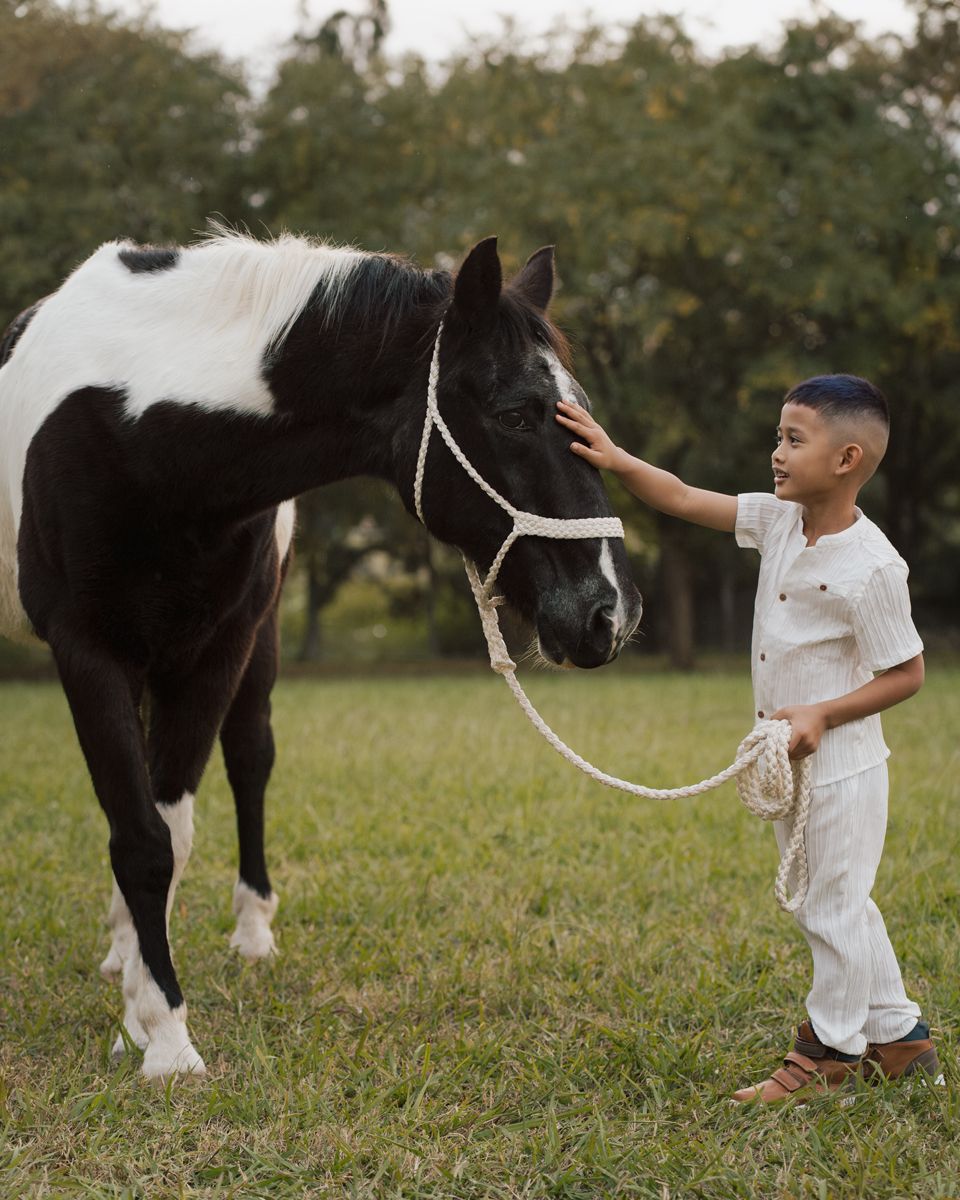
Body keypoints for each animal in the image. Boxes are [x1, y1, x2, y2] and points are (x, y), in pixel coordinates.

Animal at [0, 229, 642, 1080]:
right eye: (516, 414)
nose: (611, 613)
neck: (140, 428)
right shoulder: (88, 650)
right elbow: (141, 841)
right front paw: (163, 1035)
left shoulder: (217, 650)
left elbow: (171, 831)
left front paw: (146, 1013)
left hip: (254, 647)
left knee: (248, 761)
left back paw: (237, 933)